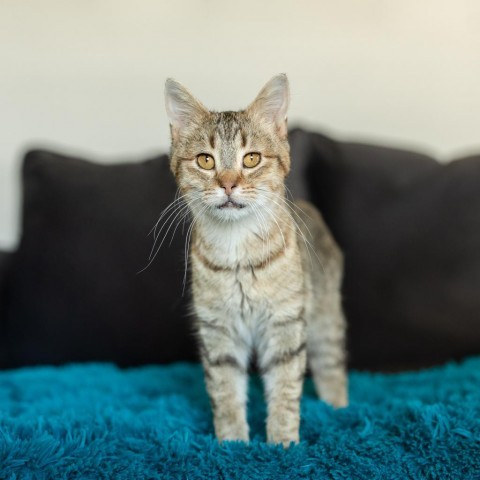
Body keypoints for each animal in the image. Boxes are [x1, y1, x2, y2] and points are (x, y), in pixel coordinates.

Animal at [163, 73, 346, 448]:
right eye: (205, 160)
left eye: (251, 159)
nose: (228, 184)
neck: (237, 250)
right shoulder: (217, 330)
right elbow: (225, 390)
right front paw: (233, 440)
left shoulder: (286, 323)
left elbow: (286, 387)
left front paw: (282, 441)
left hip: (325, 316)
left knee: (330, 362)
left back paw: (338, 405)